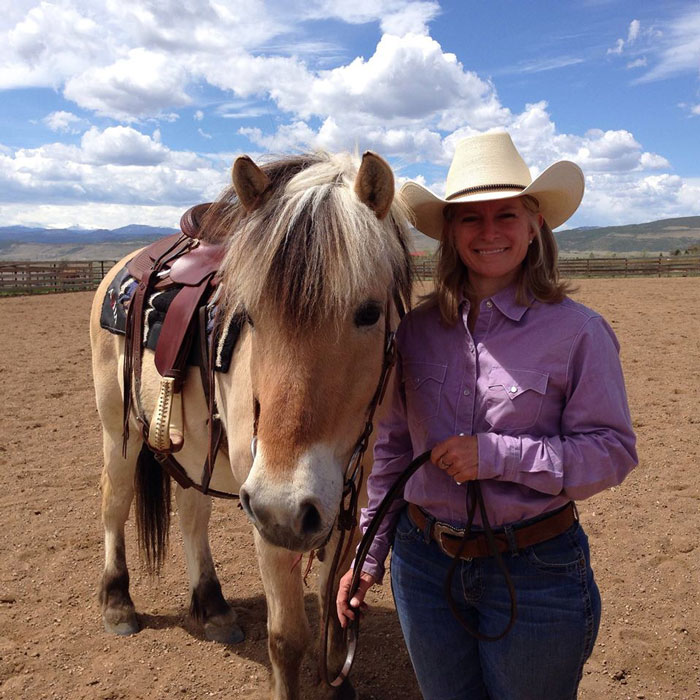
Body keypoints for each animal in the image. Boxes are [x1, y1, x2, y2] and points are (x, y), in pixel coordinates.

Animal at [89, 150, 414, 699]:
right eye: (251, 316)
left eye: (369, 312)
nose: (285, 505)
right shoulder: (267, 515)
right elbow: (287, 638)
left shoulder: (349, 502)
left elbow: (334, 611)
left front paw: (338, 683)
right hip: (121, 430)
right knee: (115, 501)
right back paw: (117, 602)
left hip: (193, 449)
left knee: (191, 513)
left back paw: (212, 607)